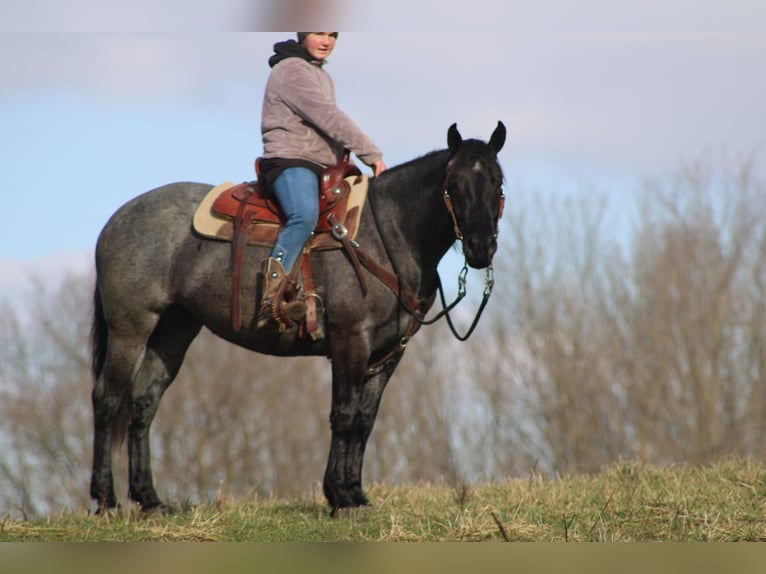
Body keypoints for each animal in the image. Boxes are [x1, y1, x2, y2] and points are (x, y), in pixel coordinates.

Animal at [90, 121, 506, 514]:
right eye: (453, 184)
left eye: (498, 182)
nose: (480, 247)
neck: (388, 234)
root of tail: (117, 220)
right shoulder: (351, 341)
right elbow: (344, 415)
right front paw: (341, 496)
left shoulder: (388, 352)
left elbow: (365, 420)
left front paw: (354, 493)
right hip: (130, 329)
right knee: (107, 399)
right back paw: (106, 499)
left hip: (175, 329)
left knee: (144, 402)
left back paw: (149, 500)